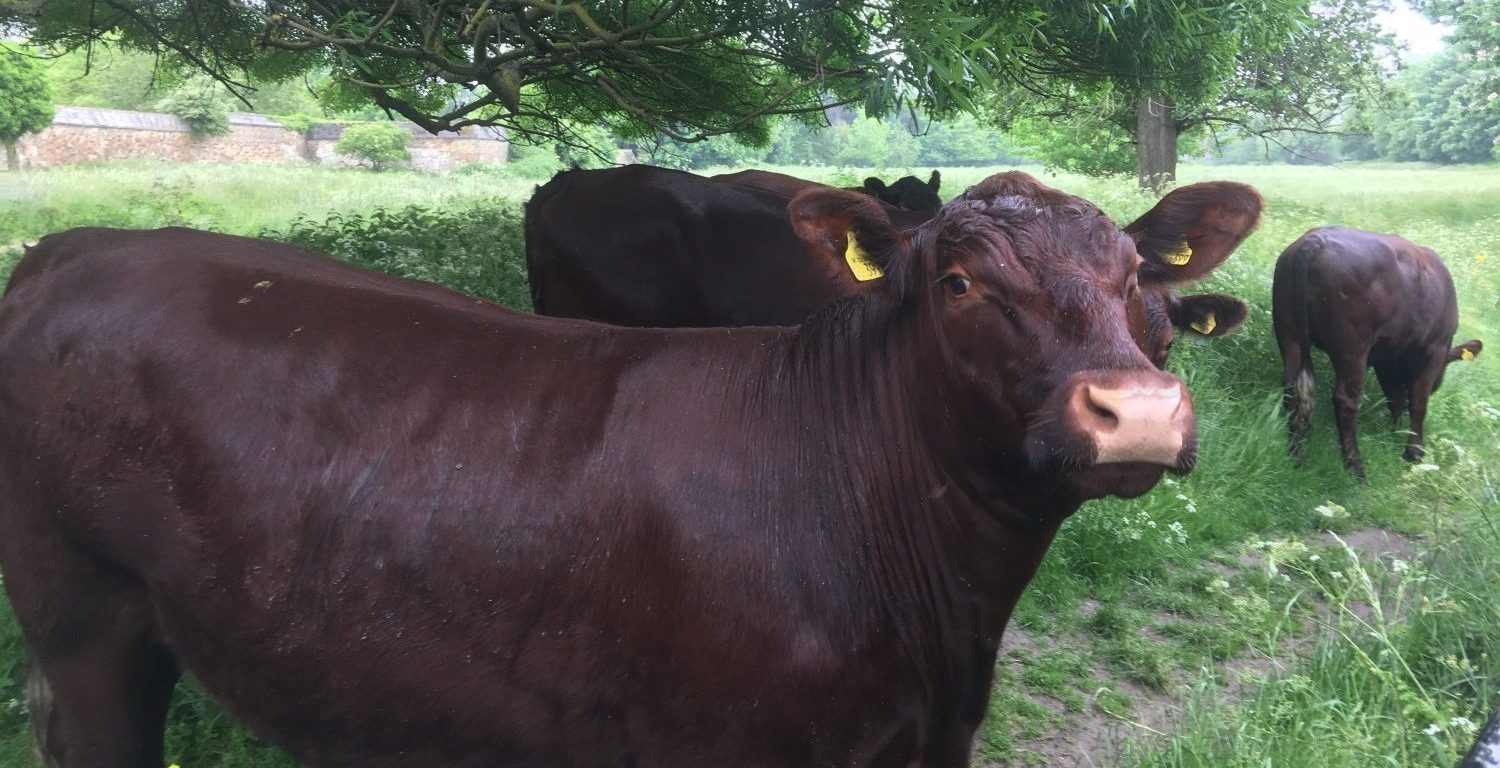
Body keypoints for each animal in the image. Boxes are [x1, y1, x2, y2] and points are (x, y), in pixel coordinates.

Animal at [1273, 226, 1483, 481]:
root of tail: (1314, 240)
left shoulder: (1387, 358)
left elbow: (1396, 397)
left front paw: (1395, 432)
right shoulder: (1434, 349)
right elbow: (1418, 401)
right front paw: (1414, 452)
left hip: (1289, 332)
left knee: (1294, 389)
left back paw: (1297, 456)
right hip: (1352, 346)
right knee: (1345, 400)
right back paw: (1356, 468)